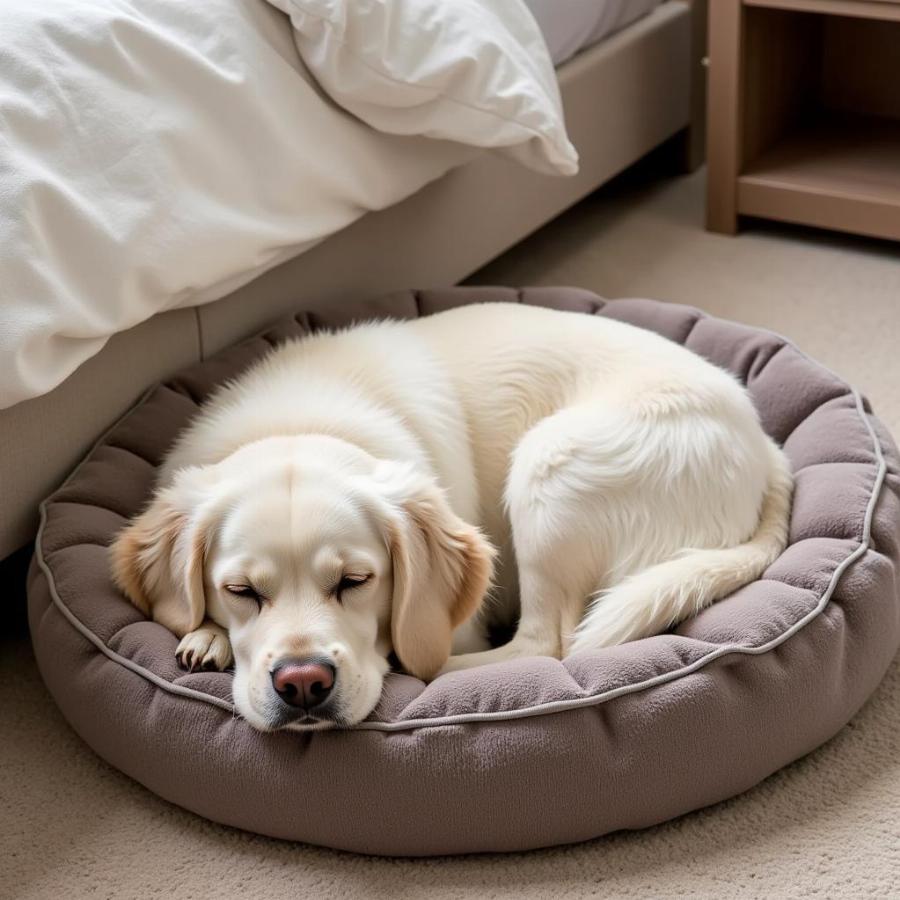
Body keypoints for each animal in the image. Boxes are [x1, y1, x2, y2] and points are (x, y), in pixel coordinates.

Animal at [109, 302, 792, 732]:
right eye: (240, 591)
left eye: (356, 582)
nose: (303, 684)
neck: (298, 423)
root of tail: (765, 447)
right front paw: (208, 635)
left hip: (548, 464)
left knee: (545, 642)